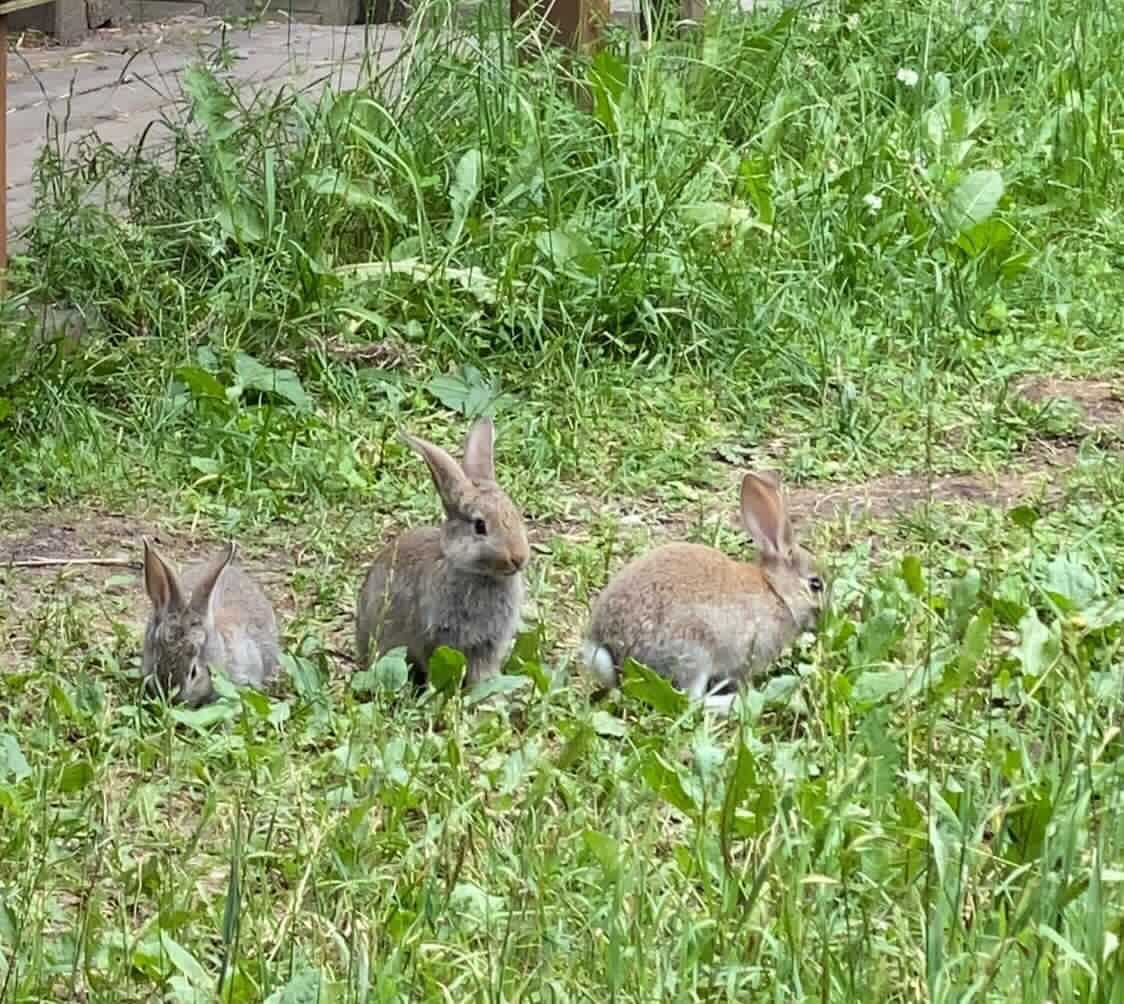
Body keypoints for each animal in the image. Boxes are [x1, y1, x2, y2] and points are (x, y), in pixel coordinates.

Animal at [357, 418, 532, 688]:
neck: (475, 572)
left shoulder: (488, 644)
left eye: (516, 514)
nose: (519, 558)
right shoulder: (435, 637)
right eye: (479, 526)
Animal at [579, 469, 827, 715]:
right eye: (816, 584)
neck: (777, 592)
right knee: (691, 702)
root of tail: (610, 650)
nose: (823, 618)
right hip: (694, 654)